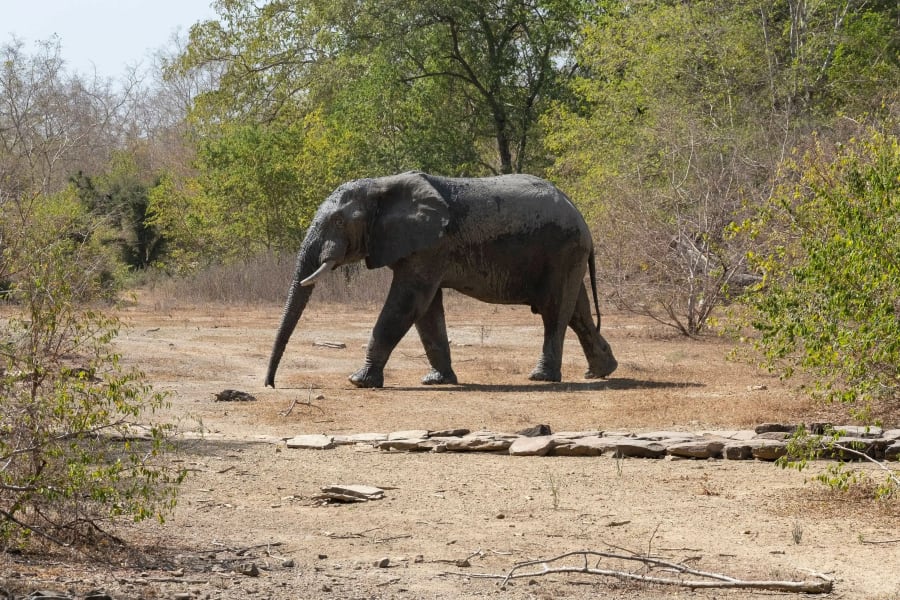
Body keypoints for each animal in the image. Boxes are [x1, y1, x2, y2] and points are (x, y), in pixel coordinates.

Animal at [265, 171, 617, 388]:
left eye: (338, 221)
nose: (270, 384)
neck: (381, 185)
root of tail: (581, 217)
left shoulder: (430, 246)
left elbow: (407, 304)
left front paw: (358, 381)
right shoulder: (422, 249)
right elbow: (427, 311)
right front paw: (437, 381)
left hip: (563, 249)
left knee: (554, 311)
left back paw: (541, 378)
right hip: (567, 255)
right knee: (577, 311)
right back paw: (601, 371)